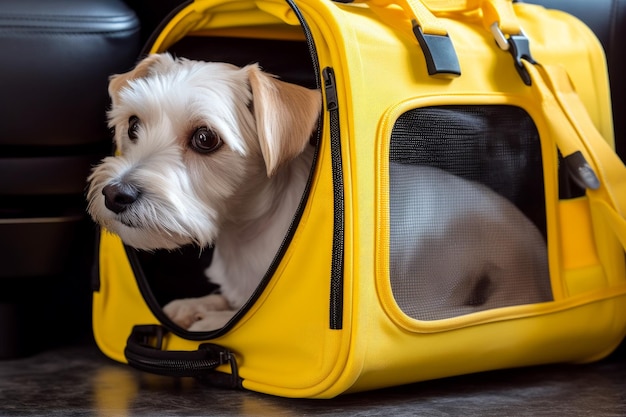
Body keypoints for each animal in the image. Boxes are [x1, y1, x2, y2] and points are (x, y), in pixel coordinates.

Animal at [86, 52, 544, 332]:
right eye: (132, 125)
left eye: (205, 138)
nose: (116, 194)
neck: (245, 233)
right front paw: (197, 303)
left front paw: (209, 319)